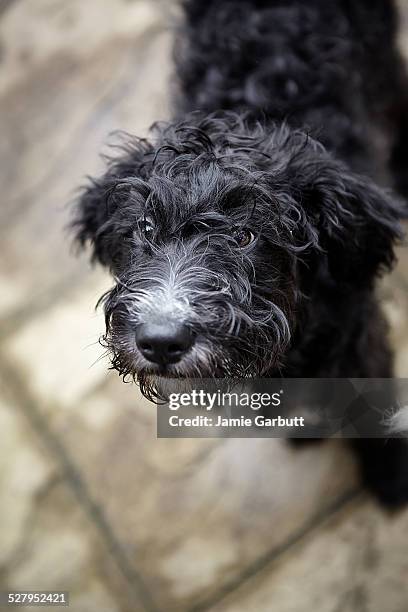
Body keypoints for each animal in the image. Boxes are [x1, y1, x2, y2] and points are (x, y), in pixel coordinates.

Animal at [73, 0, 408, 504]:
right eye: (145, 228)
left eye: (245, 236)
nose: (160, 341)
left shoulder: (357, 337)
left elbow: (370, 403)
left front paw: (390, 475)